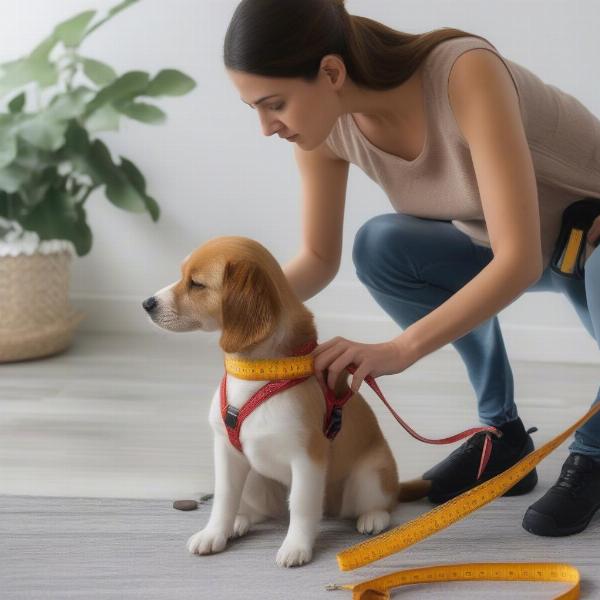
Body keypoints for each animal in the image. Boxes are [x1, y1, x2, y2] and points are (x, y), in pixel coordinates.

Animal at [143, 236, 428, 568]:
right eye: (182, 275)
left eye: (196, 284)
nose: (146, 303)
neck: (255, 375)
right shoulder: (226, 452)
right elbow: (224, 499)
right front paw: (214, 533)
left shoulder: (307, 459)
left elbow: (302, 506)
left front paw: (296, 547)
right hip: (254, 480)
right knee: (258, 509)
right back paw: (240, 521)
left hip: (369, 476)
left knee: (381, 503)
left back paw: (373, 518)